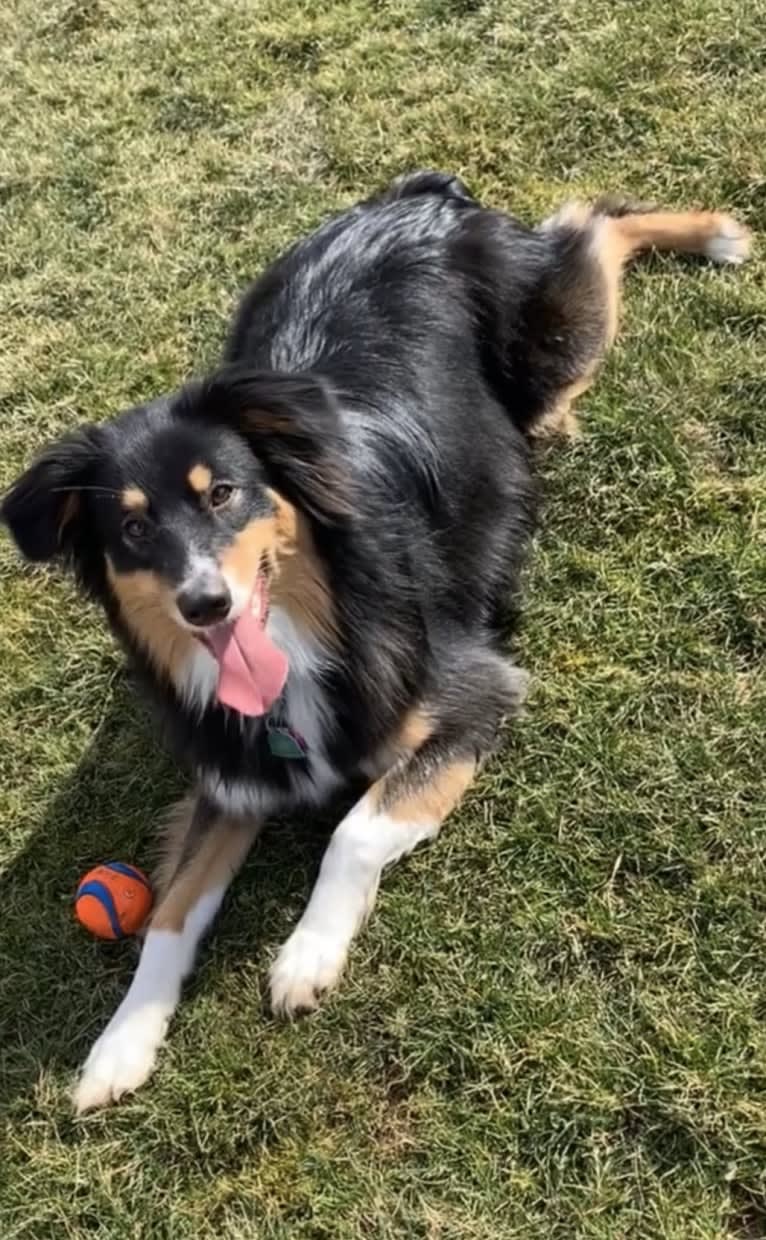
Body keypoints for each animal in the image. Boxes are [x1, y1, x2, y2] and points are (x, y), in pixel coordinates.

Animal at [0, 169, 748, 1111]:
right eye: (132, 531)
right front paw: (119, 1046)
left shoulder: (477, 694)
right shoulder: (232, 775)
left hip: (553, 345)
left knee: (592, 224)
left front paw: (306, 955)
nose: (205, 604)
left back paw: (714, 238)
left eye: (224, 494)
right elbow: (168, 915)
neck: (307, 634)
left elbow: (354, 829)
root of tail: (419, 194)